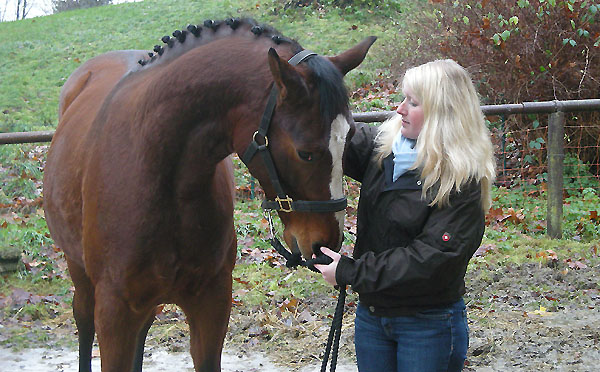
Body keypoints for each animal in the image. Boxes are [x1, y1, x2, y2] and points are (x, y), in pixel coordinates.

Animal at [43, 18, 376, 372]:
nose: (328, 245)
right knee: (83, 322)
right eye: (306, 153)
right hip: (80, 273)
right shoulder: (115, 313)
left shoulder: (211, 303)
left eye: (351, 139)